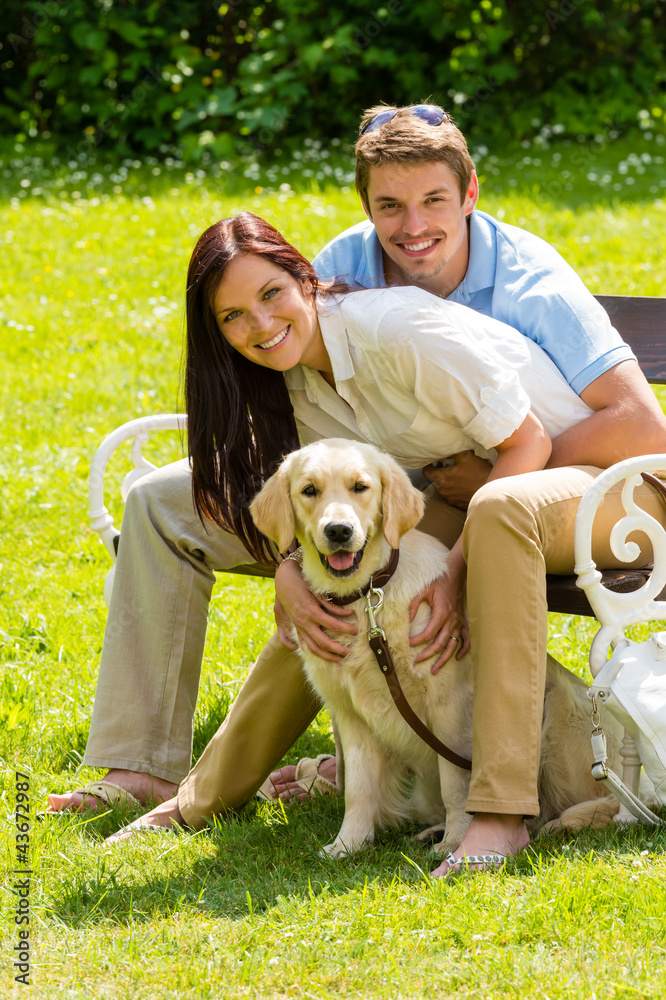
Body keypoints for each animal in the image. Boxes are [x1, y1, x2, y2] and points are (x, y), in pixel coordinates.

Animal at [252, 442, 624, 856]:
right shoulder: (351, 715)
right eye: (309, 490)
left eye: (360, 487)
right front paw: (348, 844)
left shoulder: (448, 703)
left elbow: (455, 784)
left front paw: (456, 841)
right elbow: (360, 790)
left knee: (589, 805)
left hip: (561, 712)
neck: (367, 600)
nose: (338, 531)